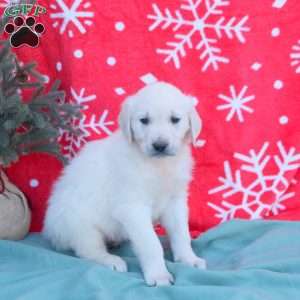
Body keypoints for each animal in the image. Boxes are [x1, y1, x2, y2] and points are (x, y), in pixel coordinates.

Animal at [42, 81, 206, 286]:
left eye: (175, 119)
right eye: (144, 120)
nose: (160, 146)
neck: (157, 165)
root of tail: (50, 230)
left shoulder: (175, 202)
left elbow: (182, 234)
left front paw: (188, 259)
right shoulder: (133, 207)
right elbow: (151, 244)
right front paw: (159, 275)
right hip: (79, 225)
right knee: (88, 250)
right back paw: (111, 260)